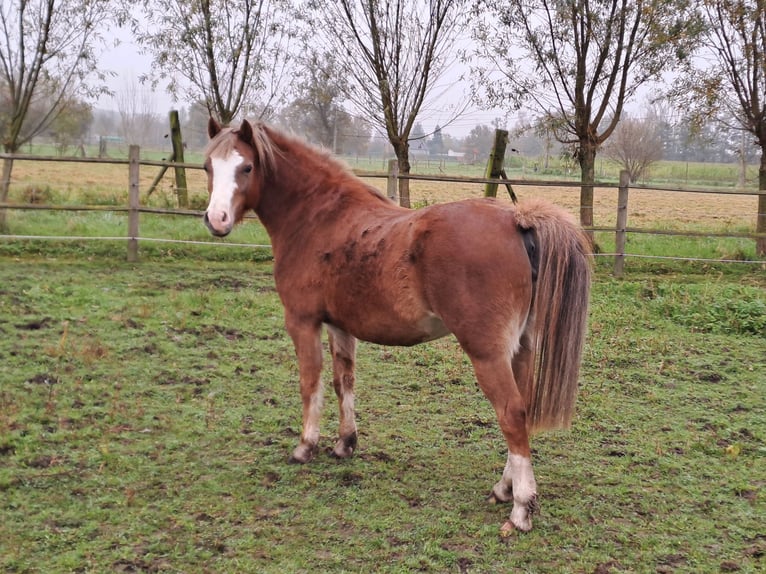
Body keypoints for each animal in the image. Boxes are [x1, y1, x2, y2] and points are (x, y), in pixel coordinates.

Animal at [201, 118, 592, 536]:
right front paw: (345, 444)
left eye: (247, 167)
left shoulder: (302, 321)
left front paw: (305, 446)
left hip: (487, 353)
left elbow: (310, 383)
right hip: (519, 349)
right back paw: (504, 489)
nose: (216, 219)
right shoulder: (340, 326)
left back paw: (520, 508)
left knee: (512, 413)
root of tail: (517, 220)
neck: (318, 217)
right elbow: (344, 382)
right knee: (523, 410)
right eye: (209, 167)